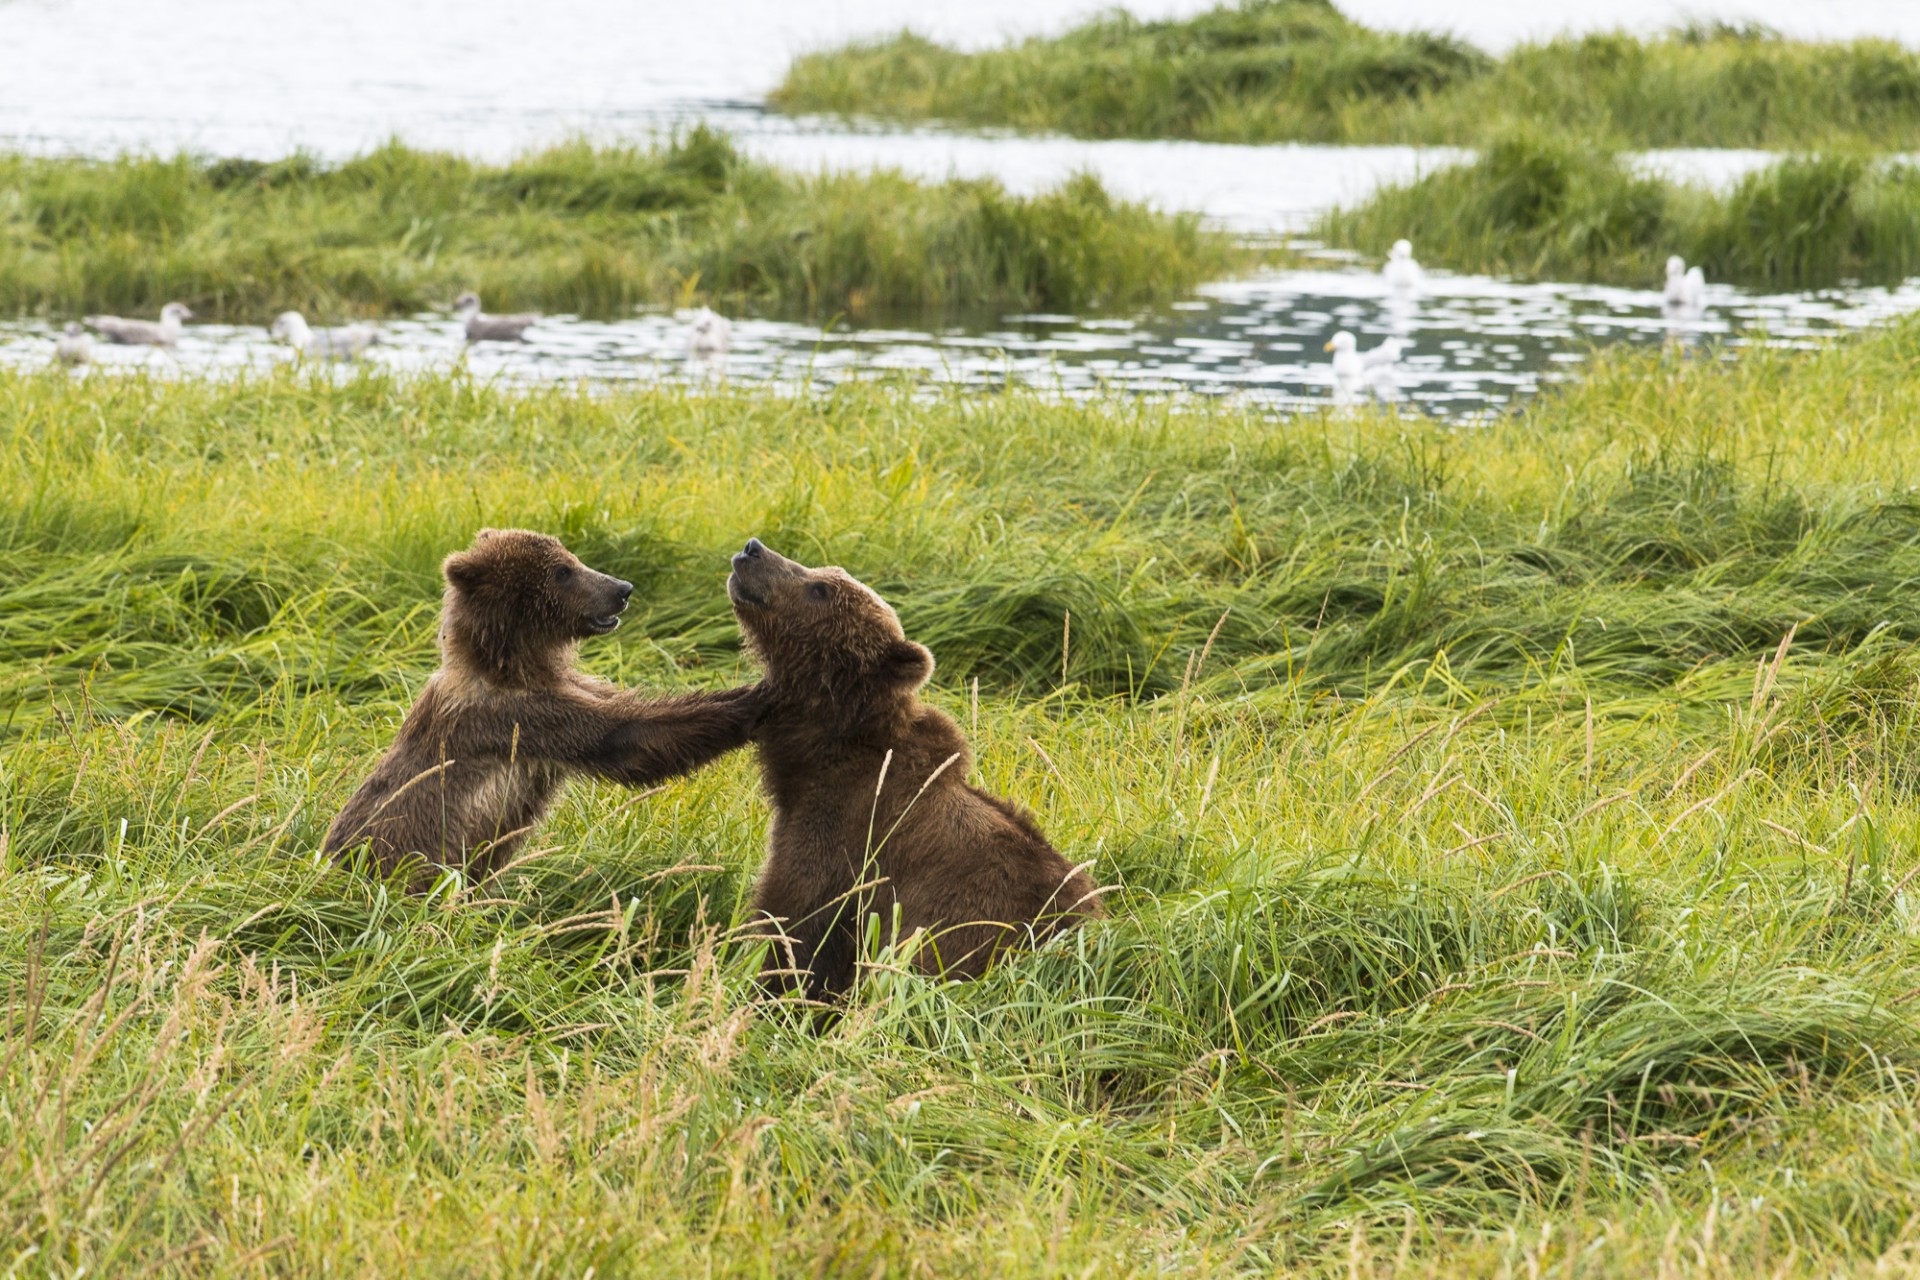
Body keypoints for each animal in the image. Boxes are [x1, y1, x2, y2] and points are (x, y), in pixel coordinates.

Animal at [323, 529, 763, 888]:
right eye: (563, 571)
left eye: (572, 558)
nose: (622, 588)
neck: (512, 666)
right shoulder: (517, 719)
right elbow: (628, 736)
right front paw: (753, 699)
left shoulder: (570, 687)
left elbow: (626, 709)